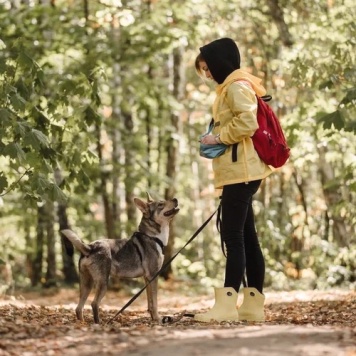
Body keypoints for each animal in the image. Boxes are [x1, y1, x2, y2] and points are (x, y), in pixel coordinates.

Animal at [61, 193, 179, 324]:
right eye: (161, 204)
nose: (175, 199)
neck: (153, 237)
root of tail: (90, 247)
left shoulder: (147, 278)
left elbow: (150, 303)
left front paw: (153, 318)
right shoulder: (153, 275)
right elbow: (155, 303)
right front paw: (158, 319)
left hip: (87, 284)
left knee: (78, 308)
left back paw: (82, 324)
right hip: (103, 283)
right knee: (94, 304)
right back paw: (100, 323)